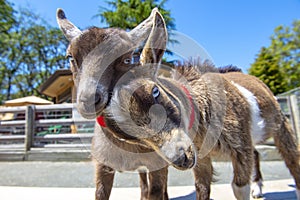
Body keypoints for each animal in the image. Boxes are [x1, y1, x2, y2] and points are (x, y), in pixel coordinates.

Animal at [56, 8, 169, 200]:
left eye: (127, 59)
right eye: (70, 57)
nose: (89, 100)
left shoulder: (158, 162)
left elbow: (156, 190)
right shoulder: (102, 163)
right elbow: (100, 192)